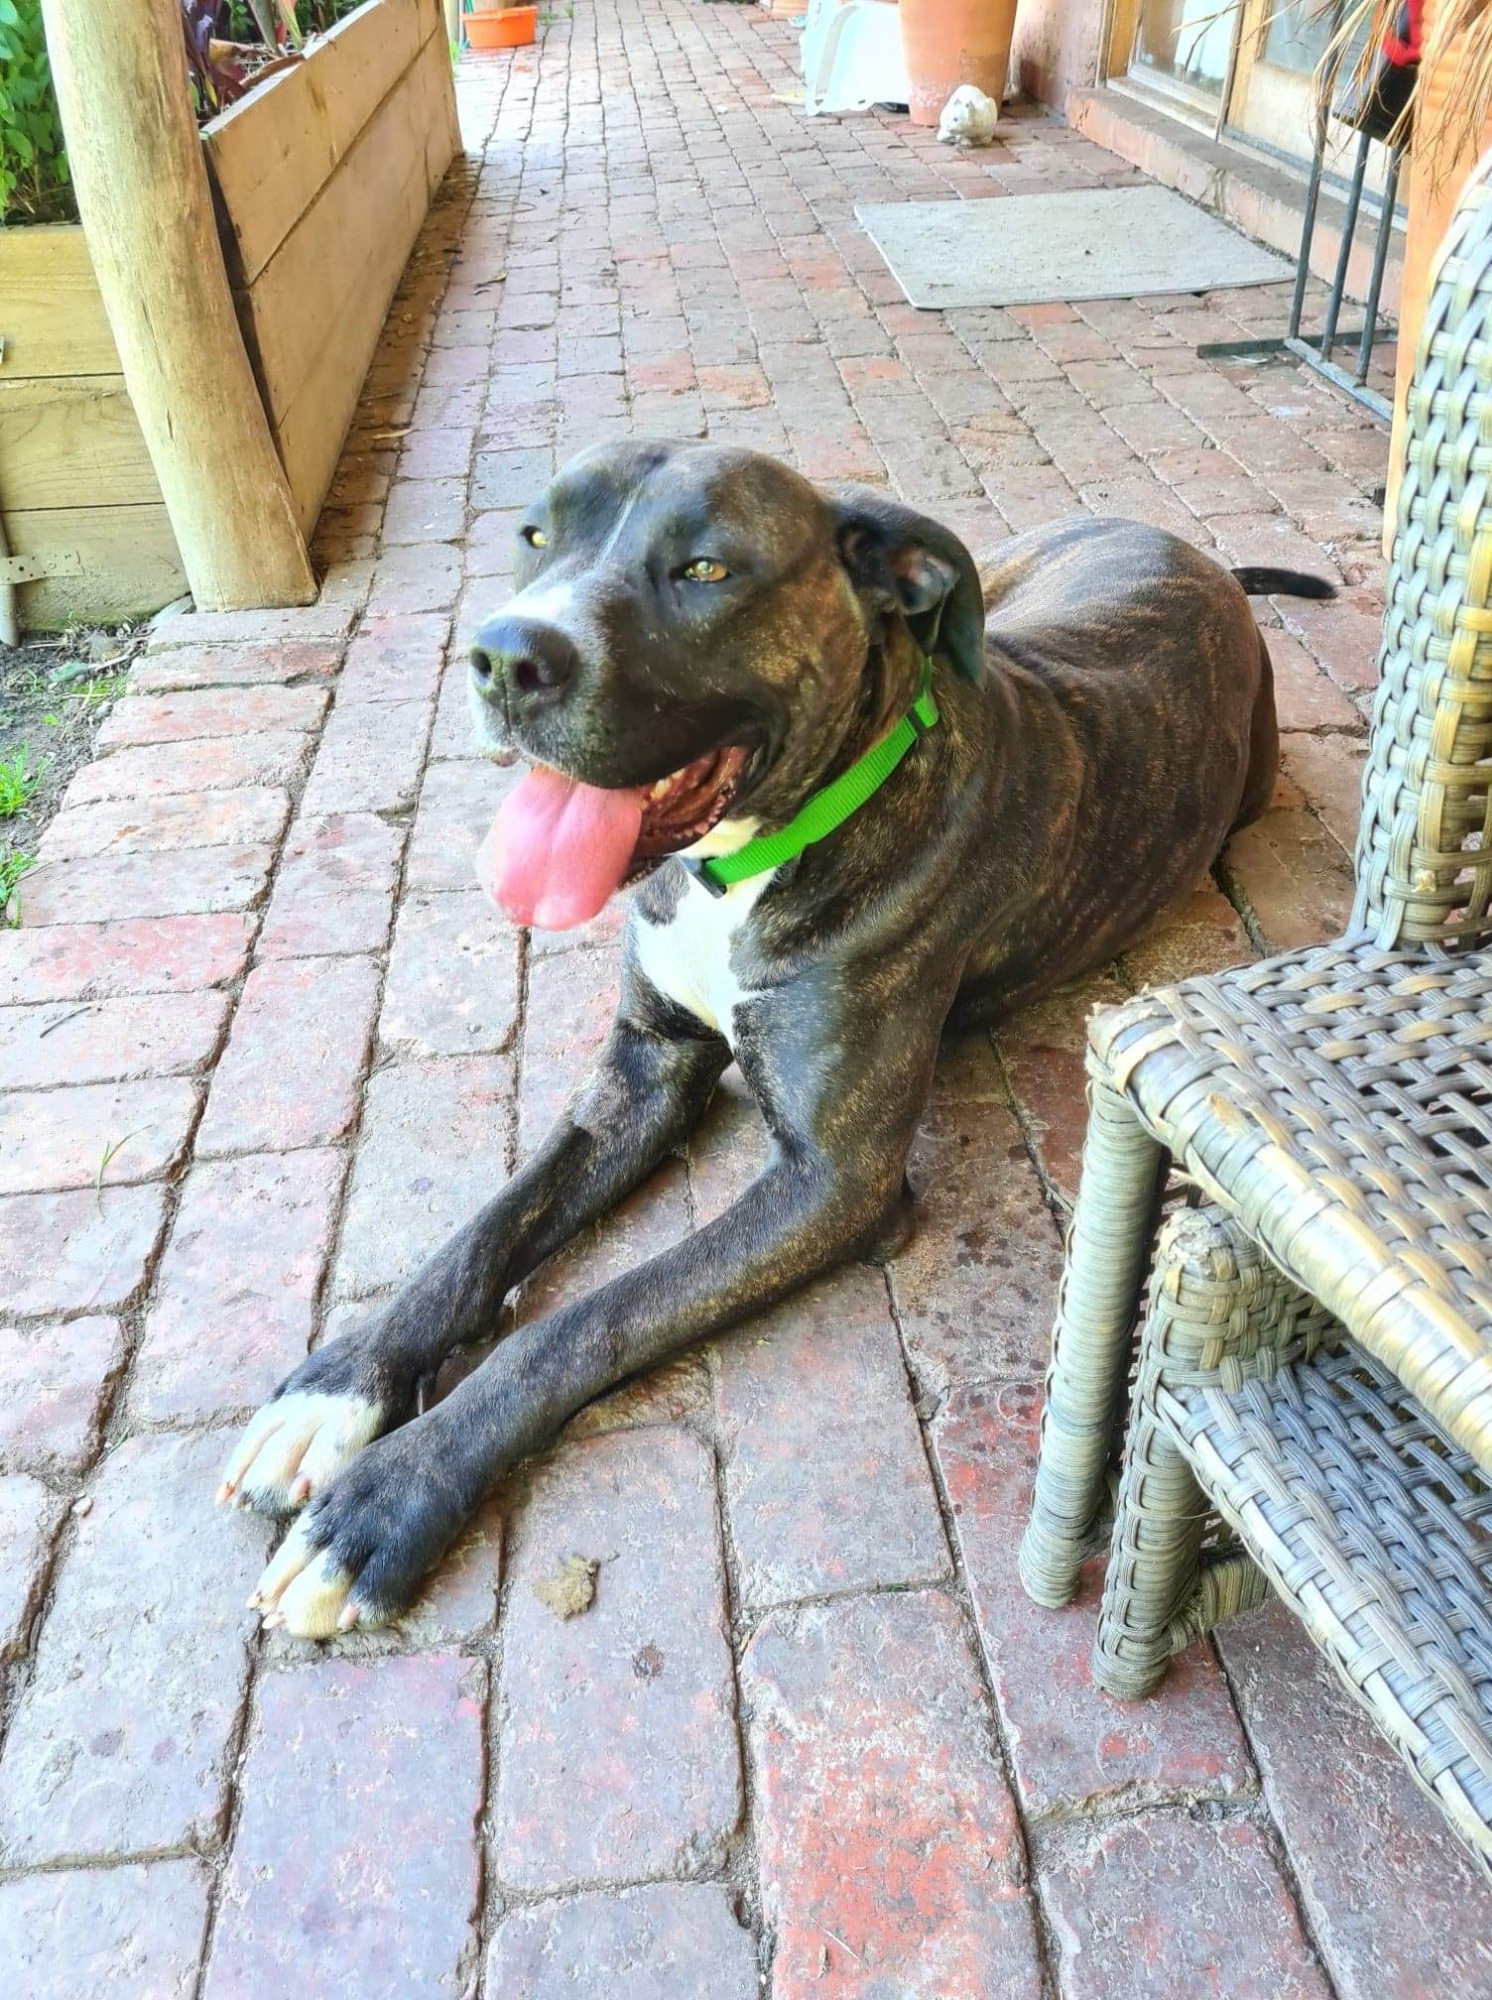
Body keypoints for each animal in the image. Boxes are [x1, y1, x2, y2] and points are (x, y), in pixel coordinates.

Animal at [220, 440, 1332, 1637]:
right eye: (534, 536)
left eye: (705, 568)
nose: (506, 654)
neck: (741, 863)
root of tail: (1194, 557)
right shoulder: (643, 1072)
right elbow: (485, 1229)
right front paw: (342, 1385)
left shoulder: (831, 1183)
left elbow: (587, 1319)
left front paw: (387, 1497)